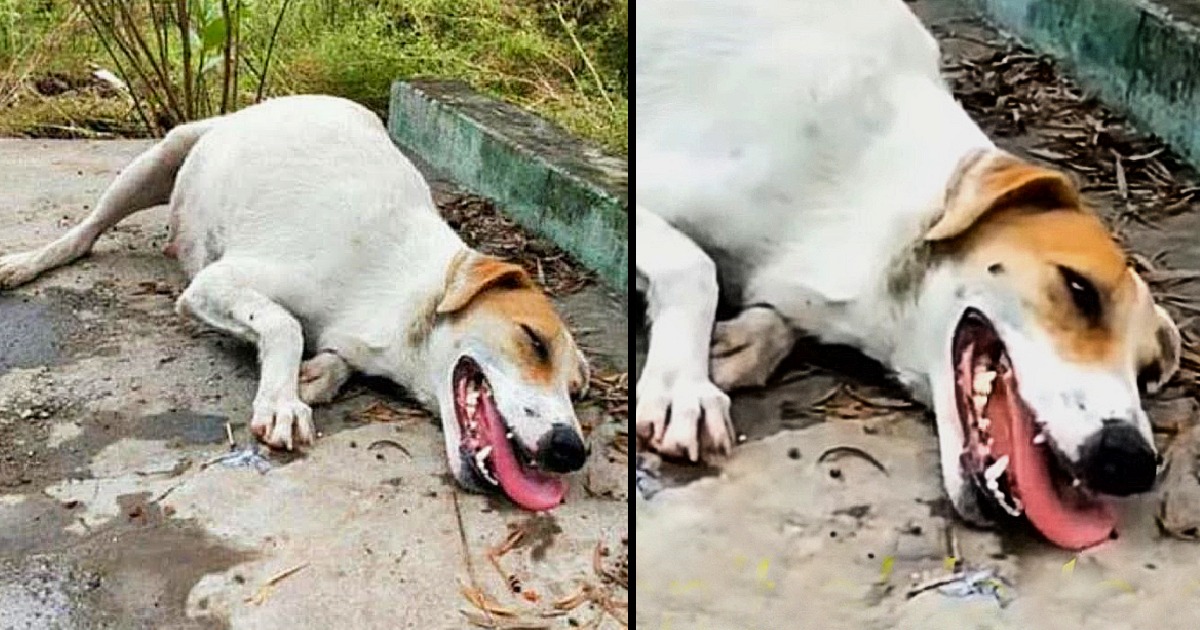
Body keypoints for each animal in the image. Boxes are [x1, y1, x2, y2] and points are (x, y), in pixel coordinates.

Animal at [2, 97, 592, 511]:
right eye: (533, 340)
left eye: (576, 389)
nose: (572, 451)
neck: (408, 289)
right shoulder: (214, 283)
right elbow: (284, 325)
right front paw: (281, 398)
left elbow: (331, 357)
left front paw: (314, 376)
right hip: (160, 155)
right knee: (84, 234)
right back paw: (26, 262)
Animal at [638, 0, 1180, 544]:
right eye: (1079, 289)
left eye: (1147, 372)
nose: (1133, 462)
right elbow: (695, 266)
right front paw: (684, 387)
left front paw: (745, 342)